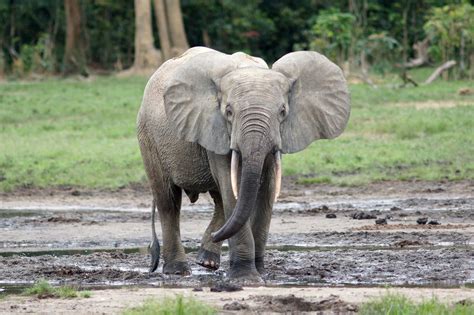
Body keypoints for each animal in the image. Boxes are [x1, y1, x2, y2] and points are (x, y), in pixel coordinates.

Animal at [135, 45, 350, 280]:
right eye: (229, 112)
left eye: (282, 111)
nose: (217, 236)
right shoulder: (215, 129)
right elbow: (233, 189)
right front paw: (246, 278)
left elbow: (266, 191)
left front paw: (260, 272)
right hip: (148, 137)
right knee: (168, 201)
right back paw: (178, 270)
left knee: (219, 200)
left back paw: (207, 261)